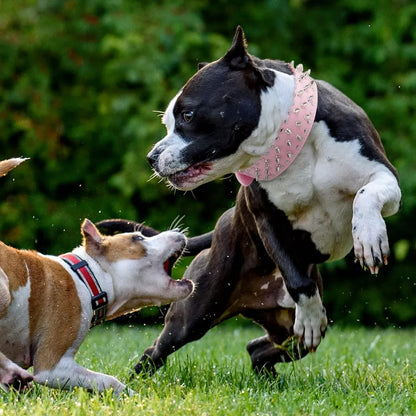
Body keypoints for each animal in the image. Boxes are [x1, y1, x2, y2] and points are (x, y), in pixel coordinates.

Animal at [0, 158, 193, 394]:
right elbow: (109, 381)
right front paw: (133, 396)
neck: (86, 278)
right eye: (137, 238)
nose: (179, 232)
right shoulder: (53, 367)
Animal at [102, 26, 402, 374]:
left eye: (187, 115)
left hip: (285, 331)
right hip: (196, 311)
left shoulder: (384, 176)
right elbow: (298, 281)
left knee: (259, 348)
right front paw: (311, 315)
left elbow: (366, 196)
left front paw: (369, 237)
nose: (151, 157)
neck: (292, 143)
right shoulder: (267, 220)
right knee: (158, 349)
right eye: (168, 122)